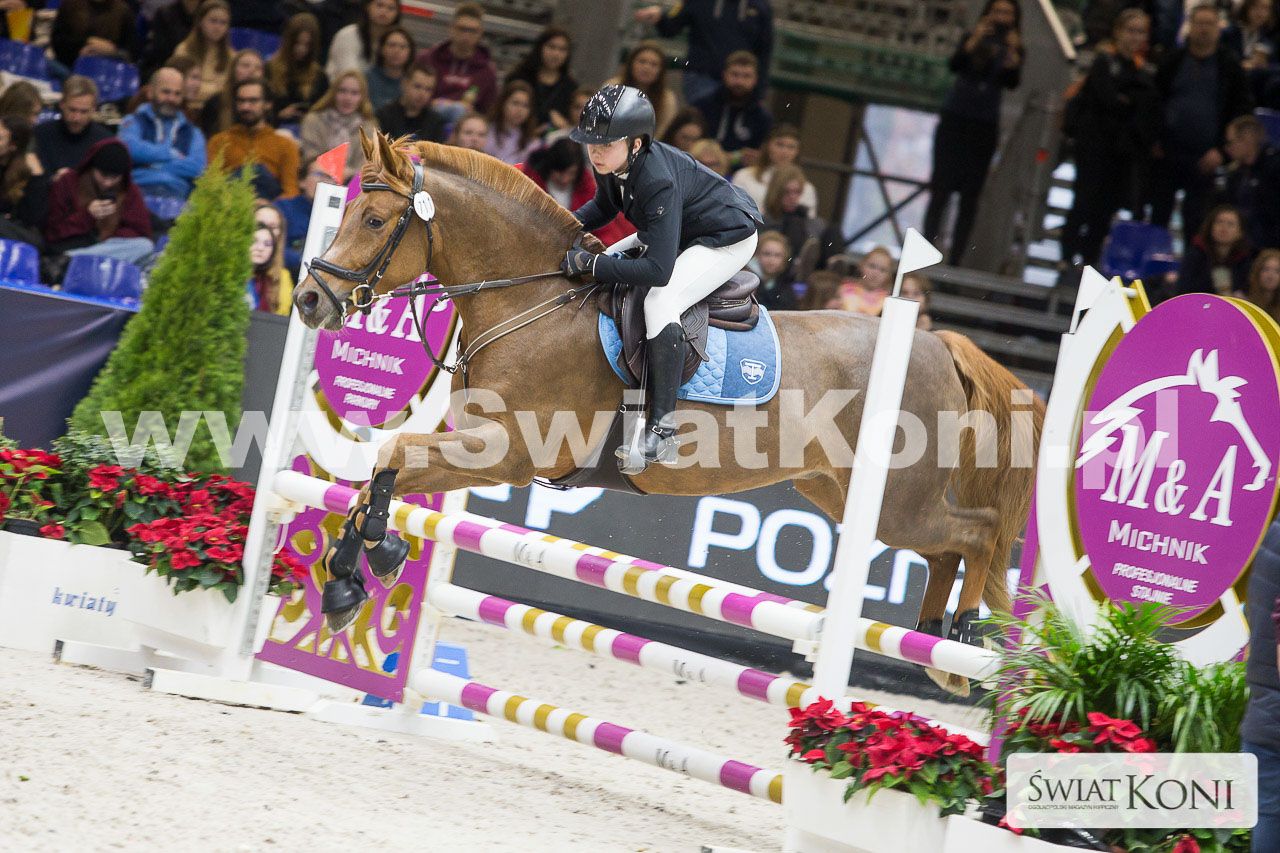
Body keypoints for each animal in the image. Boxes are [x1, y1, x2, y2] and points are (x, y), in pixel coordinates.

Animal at [292, 133, 1045, 693]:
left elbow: (391, 456)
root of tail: (938, 344)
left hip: (897, 498)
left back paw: (965, 635)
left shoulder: (506, 449)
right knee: (946, 548)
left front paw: (368, 564)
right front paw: (354, 573)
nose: (307, 300)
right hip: (844, 492)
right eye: (349, 211)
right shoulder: (476, 441)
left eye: (375, 220)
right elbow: (381, 469)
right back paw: (937, 648)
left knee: (977, 531)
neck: (529, 302)